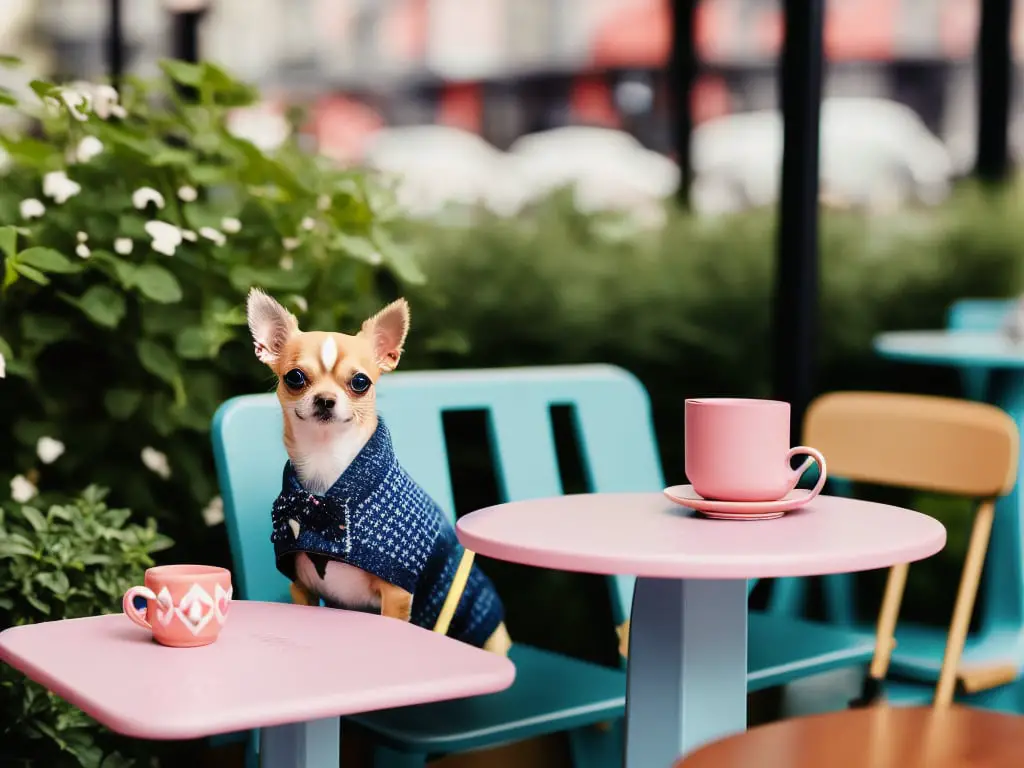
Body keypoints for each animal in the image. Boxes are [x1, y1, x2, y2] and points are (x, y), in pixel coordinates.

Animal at [247, 288, 512, 655]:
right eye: (295, 378)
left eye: (360, 382)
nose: (325, 399)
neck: (327, 465)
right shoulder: (301, 588)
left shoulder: (397, 595)